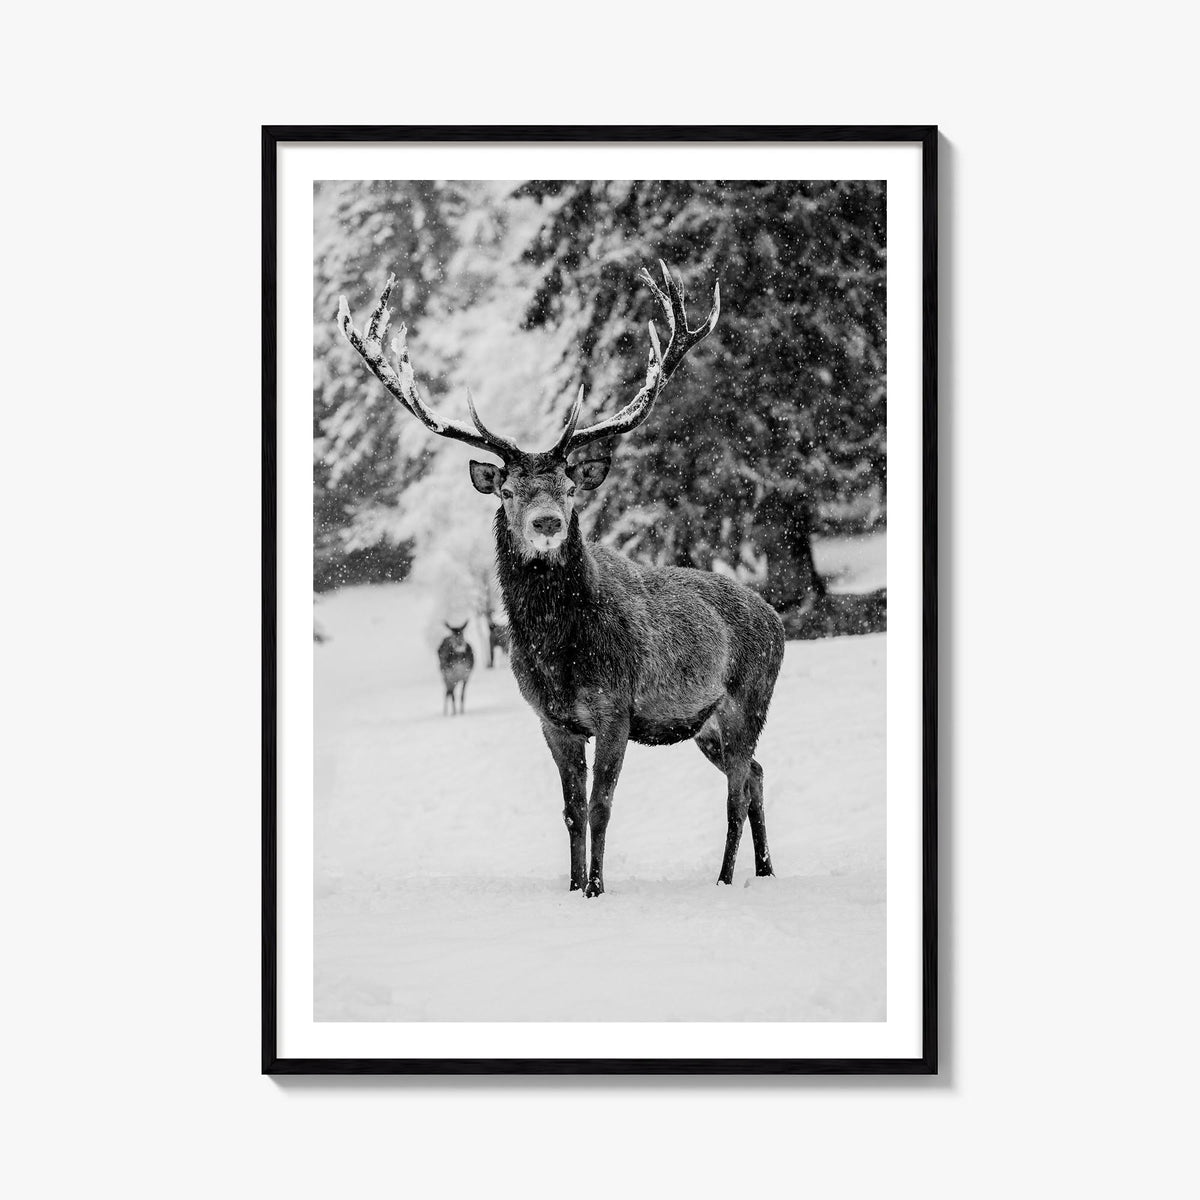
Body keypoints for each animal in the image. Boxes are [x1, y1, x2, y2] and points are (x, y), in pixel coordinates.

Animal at [338, 262, 785, 896]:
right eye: (507, 489)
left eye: (571, 487)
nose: (547, 521)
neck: (558, 652)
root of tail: (776, 617)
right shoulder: (551, 719)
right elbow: (571, 810)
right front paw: (573, 888)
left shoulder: (616, 707)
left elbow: (601, 806)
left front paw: (597, 888)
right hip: (704, 724)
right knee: (757, 777)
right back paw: (765, 869)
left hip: (750, 697)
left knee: (736, 790)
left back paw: (725, 877)